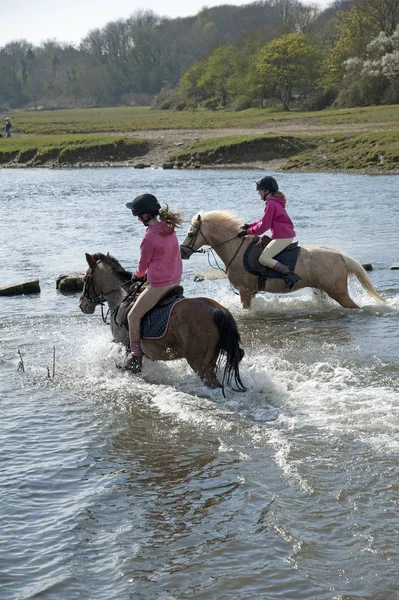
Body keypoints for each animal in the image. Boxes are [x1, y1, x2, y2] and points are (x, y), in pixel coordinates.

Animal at [79, 252, 247, 394]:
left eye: (85, 279)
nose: (82, 305)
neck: (122, 298)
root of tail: (217, 310)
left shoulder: (121, 341)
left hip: (200, 364)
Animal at [180, 209, 386, 310]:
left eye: (190, 234)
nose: (182, 252)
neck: (235, 249)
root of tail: (341, 256)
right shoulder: (250, 292)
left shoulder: (245, 291)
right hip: (322, 291)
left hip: (338, 292)